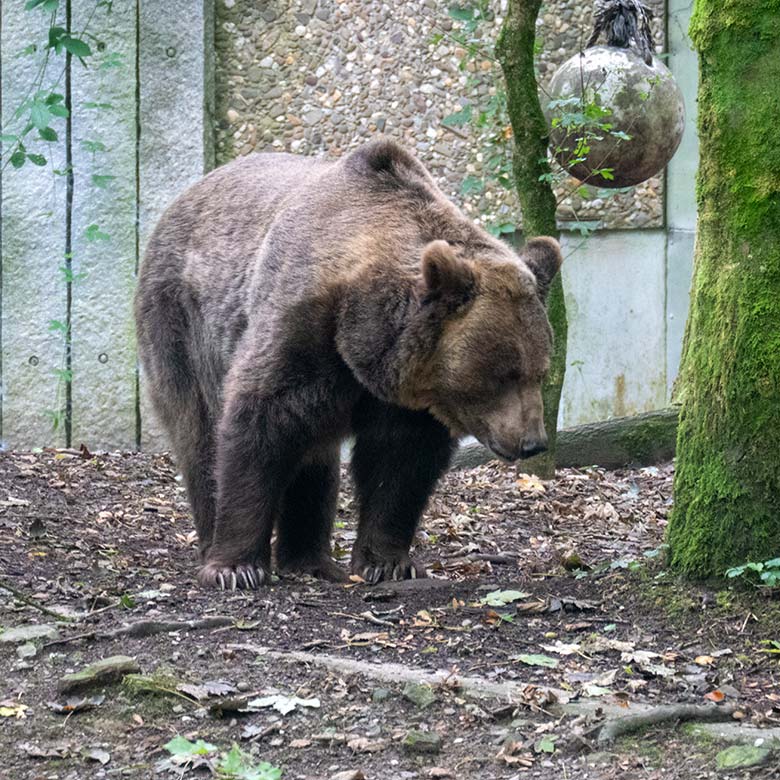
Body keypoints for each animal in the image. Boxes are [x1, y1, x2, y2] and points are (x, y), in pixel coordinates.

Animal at [134, 140, 560, 592]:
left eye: (540, 370)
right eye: (502, 375)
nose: (532, 442)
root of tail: (186, 196)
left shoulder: (404, 394)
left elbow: (399, 462)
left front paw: (388, 562)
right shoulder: (301, 328)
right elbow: (259, 426)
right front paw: (235, 567)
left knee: (314, 456)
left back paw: (310, 560)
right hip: (179, 321)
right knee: (198, 431)